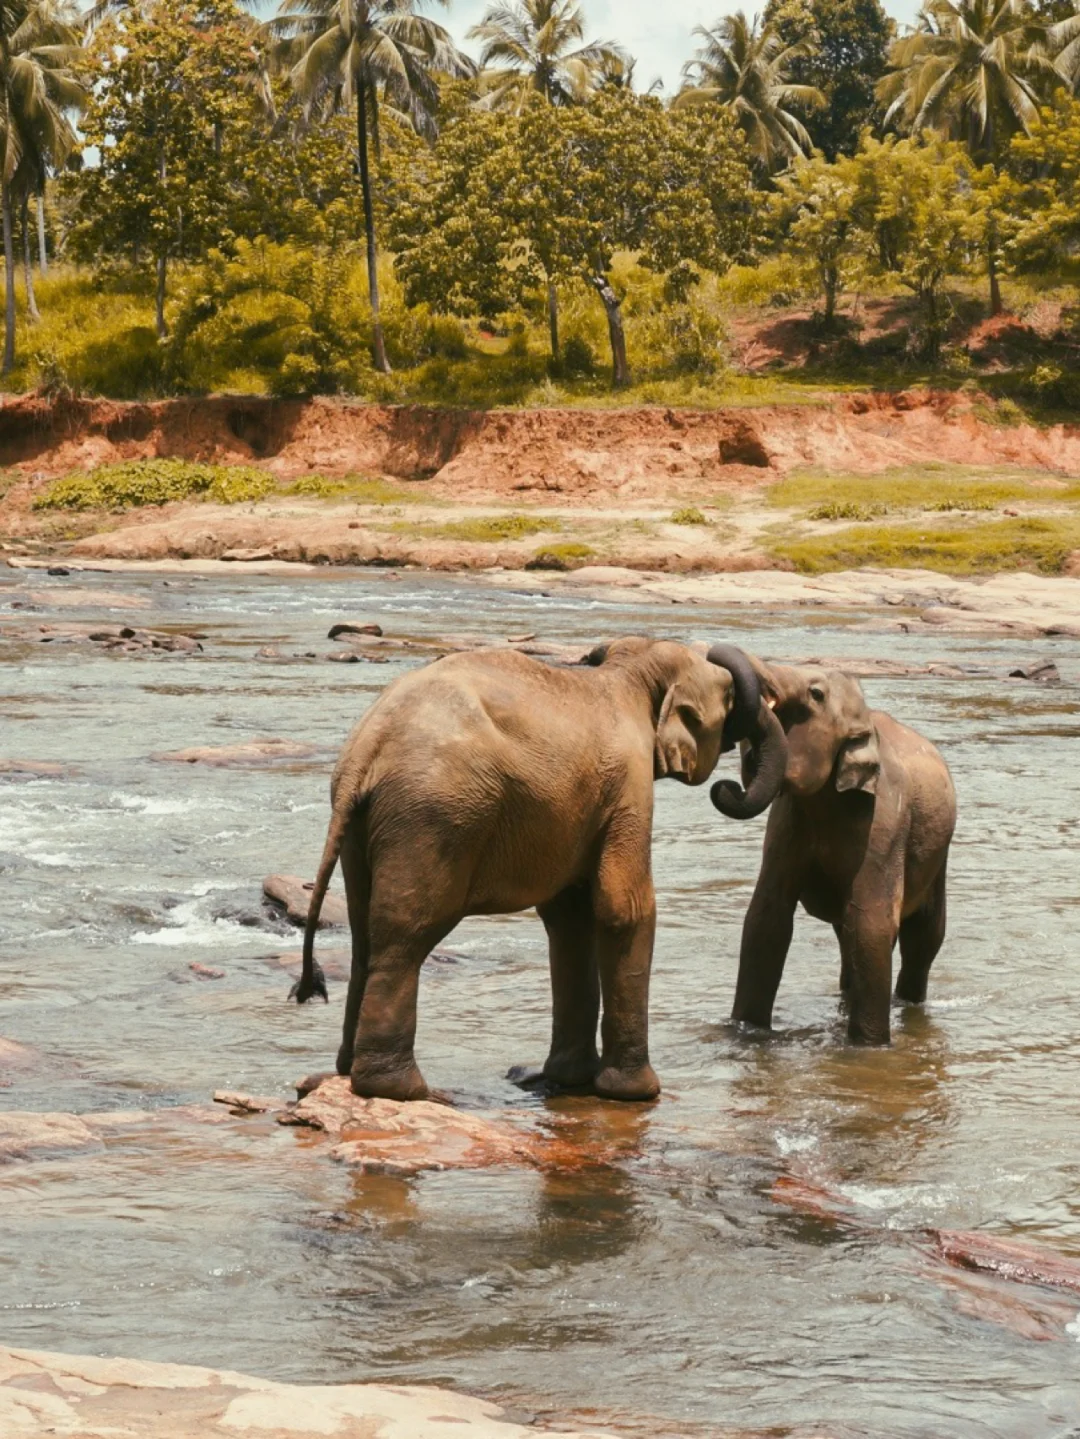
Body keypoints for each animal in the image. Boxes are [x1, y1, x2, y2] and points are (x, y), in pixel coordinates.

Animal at [292, 638, 787, 1102]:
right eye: (730, 697)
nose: (727, 787)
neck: (628, 674)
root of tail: (366, 749)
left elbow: (569, 918)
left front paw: (570, 1079)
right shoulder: (629, 784)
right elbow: (623, 908)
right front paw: (637, 1092)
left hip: (366, 824)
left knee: (364, 932)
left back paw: (348, 1071)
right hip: (433, 816)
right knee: (406, 934)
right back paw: (403, 1090)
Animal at [711, 660, 955, 1045]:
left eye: (816, 694)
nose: (725, 784)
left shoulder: (883, 820)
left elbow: (871, 922)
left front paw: (867, 1048)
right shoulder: (787, 820)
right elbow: (766, 918)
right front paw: (747, 1032)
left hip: (939, 853)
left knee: (923, 934)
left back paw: (907, 1003)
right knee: (847, 934)